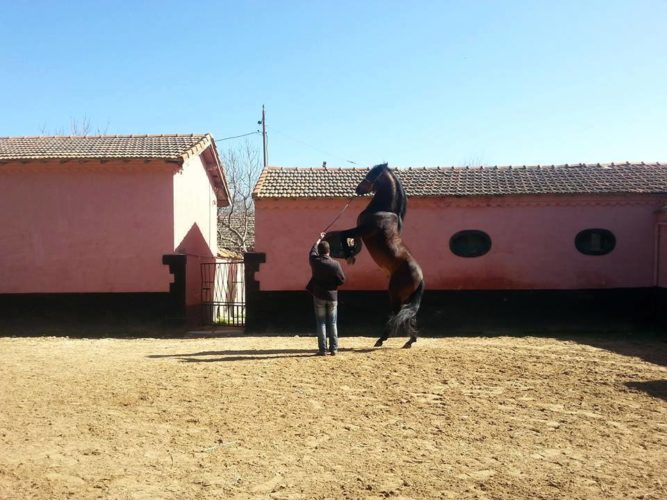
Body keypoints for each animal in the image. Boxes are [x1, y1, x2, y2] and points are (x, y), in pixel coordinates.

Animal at [326, 164, 426, 348]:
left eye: (371, 174)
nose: (358, 189)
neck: (383, 211)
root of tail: (420, 277)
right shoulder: (360, 232)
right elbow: (347, 236)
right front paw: (351, 251)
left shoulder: (363, 230)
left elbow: (344, 234)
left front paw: (349, 255)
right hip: (407, 297)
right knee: (409, 316)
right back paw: (409, 341)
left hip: (395, 294)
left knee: (397, 314)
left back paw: (381, 339)